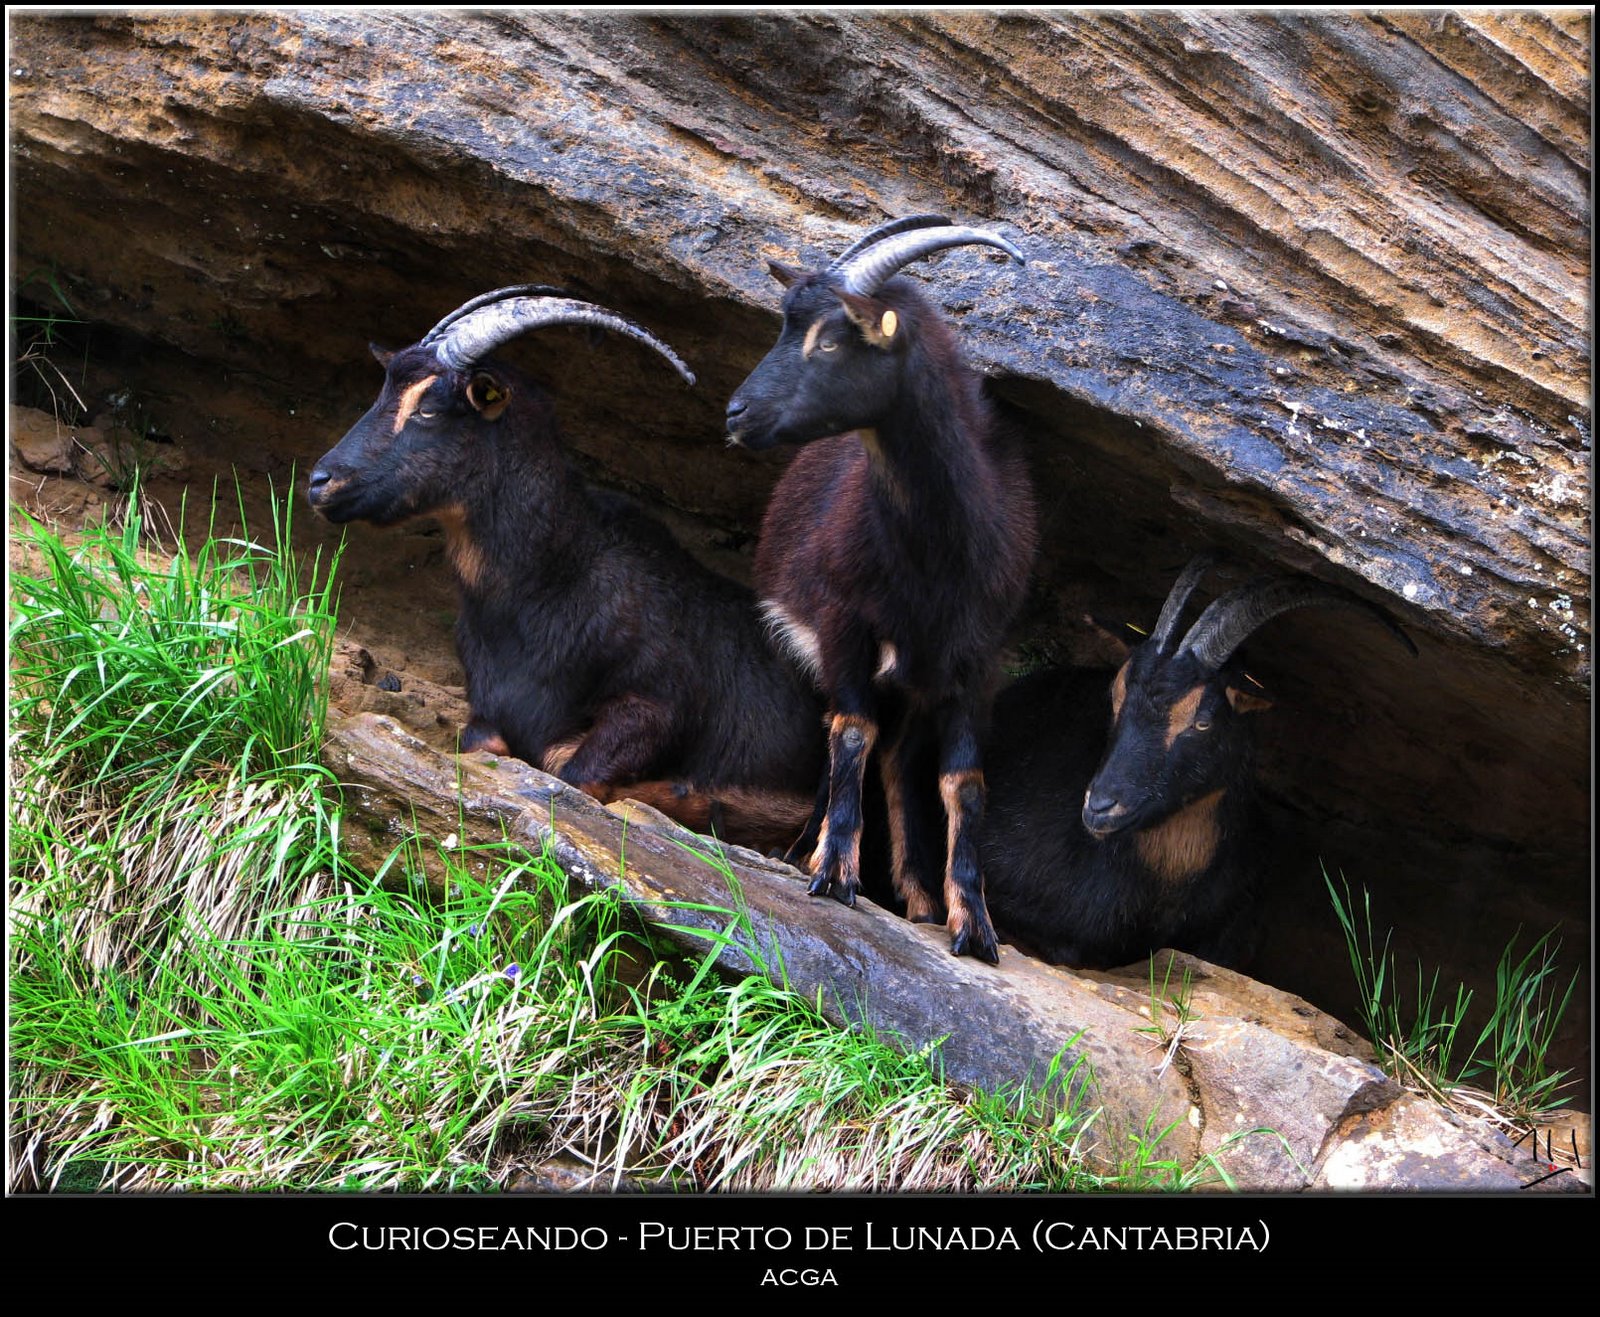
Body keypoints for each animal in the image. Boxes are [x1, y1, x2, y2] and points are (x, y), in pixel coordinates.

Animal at [307, 285, 825, 849]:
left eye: (428, 407)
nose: (320, 481)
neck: (545, 587)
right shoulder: (486, 706)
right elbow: (482, 741)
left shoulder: (659, 700)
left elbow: (573, 768)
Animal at [725, 215, 1037, 962]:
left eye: (832, 338)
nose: (735, 413)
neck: (936, 556)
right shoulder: (844, 623)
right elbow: (851, 734)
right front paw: (834, 871)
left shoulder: (975, 658)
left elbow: (964, 782)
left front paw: (973, 922)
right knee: (848, 735)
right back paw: (804, 851)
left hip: (918, 682)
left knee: (898, 758)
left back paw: (918, 895)